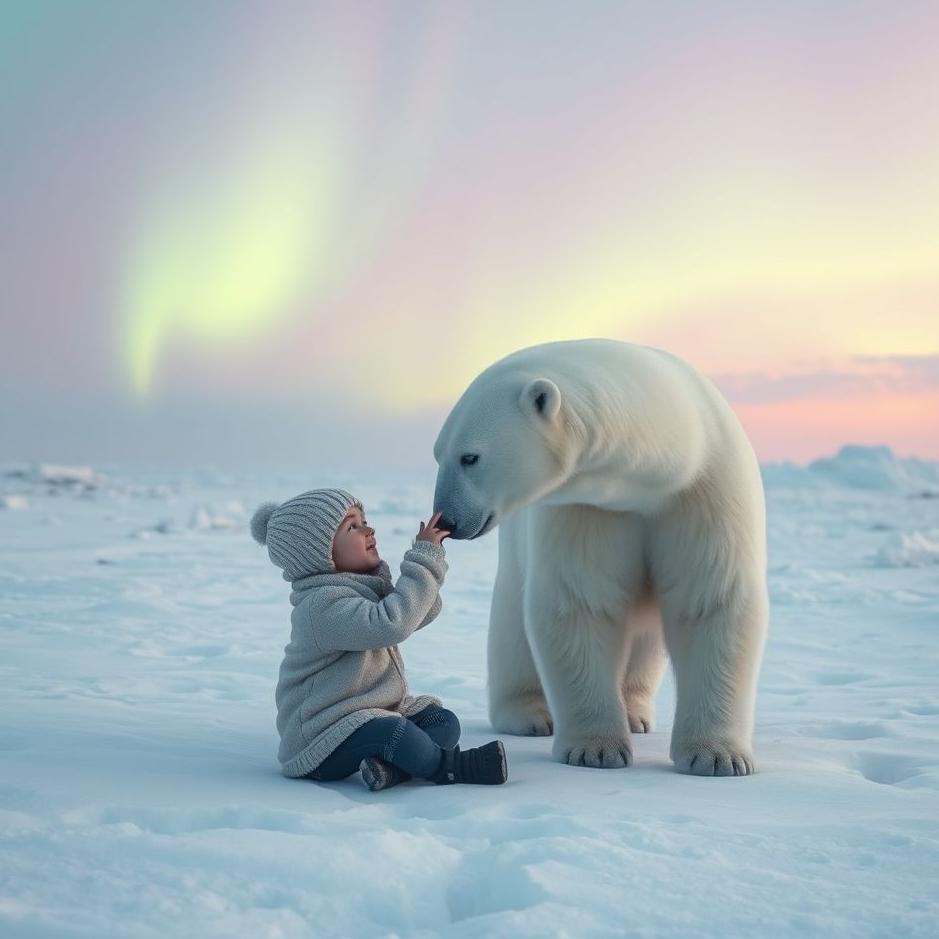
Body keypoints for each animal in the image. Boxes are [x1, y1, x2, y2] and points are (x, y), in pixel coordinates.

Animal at [432, 339, 768, 776]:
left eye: (469, 457)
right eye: (438, 454)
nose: (447, 519)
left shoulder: (704, 492)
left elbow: (711, 598)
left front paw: (717, 757)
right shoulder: (587, 510)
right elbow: (581, 601)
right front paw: (596, 750)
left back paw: (636, 712)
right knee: (511, 628)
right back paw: (529, 715)